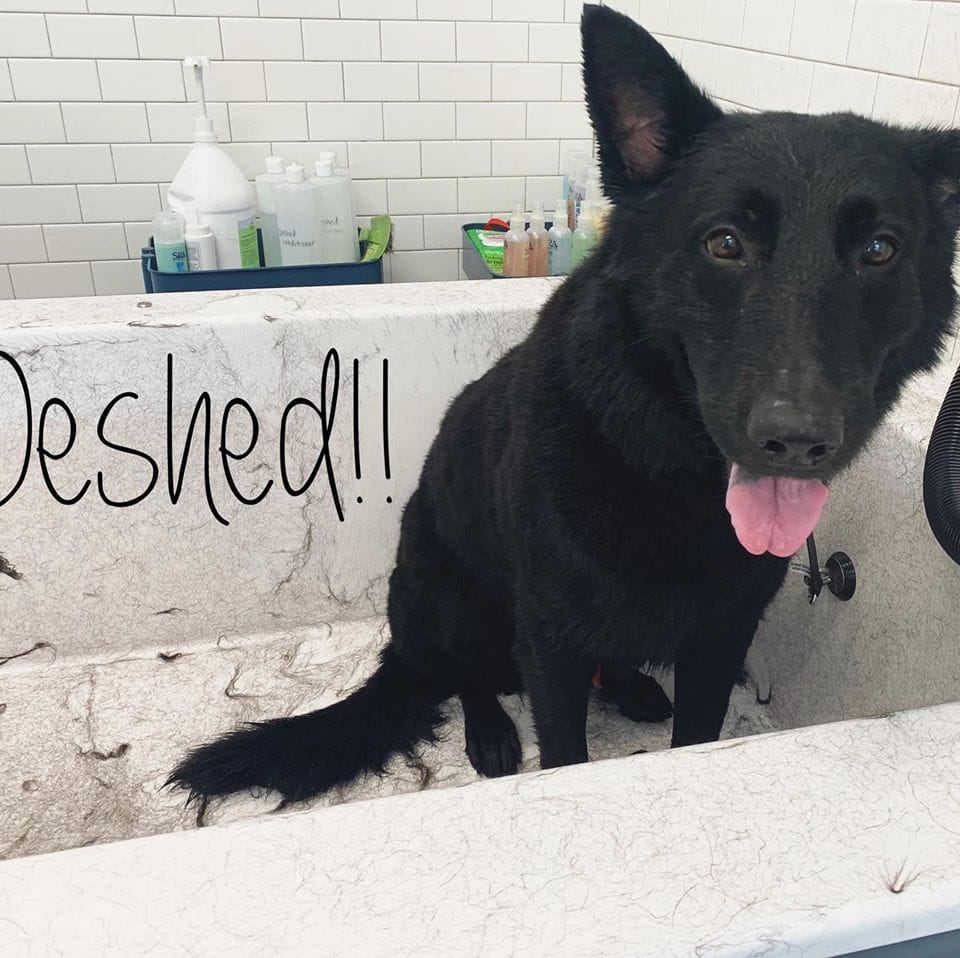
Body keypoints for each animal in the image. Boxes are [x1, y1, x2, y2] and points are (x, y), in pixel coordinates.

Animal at [172, 5, 960, 804]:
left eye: (880, 250)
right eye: (725, 242)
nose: (796, 440)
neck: (674, 477)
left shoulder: (721, 640)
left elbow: (695, 732)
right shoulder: (550, 642)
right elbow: (564, 749)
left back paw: (631, 686)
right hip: (446, 590)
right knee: (467, 675)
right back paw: (490, 729)